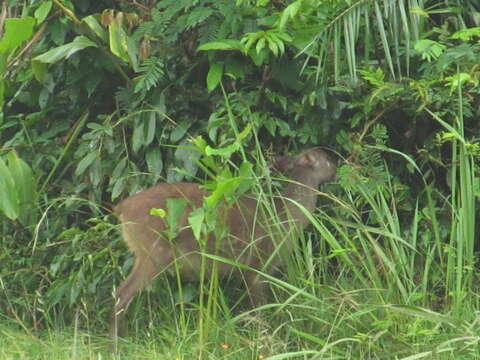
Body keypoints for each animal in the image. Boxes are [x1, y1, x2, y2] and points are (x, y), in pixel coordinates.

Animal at [112, 148, 338, 336]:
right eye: (327, 159)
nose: (338, 168)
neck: (283, 220)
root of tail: (121, 208)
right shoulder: (256, 264)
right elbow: (258, 309)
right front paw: (264, 339)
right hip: (153, 250)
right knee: (122, 293)